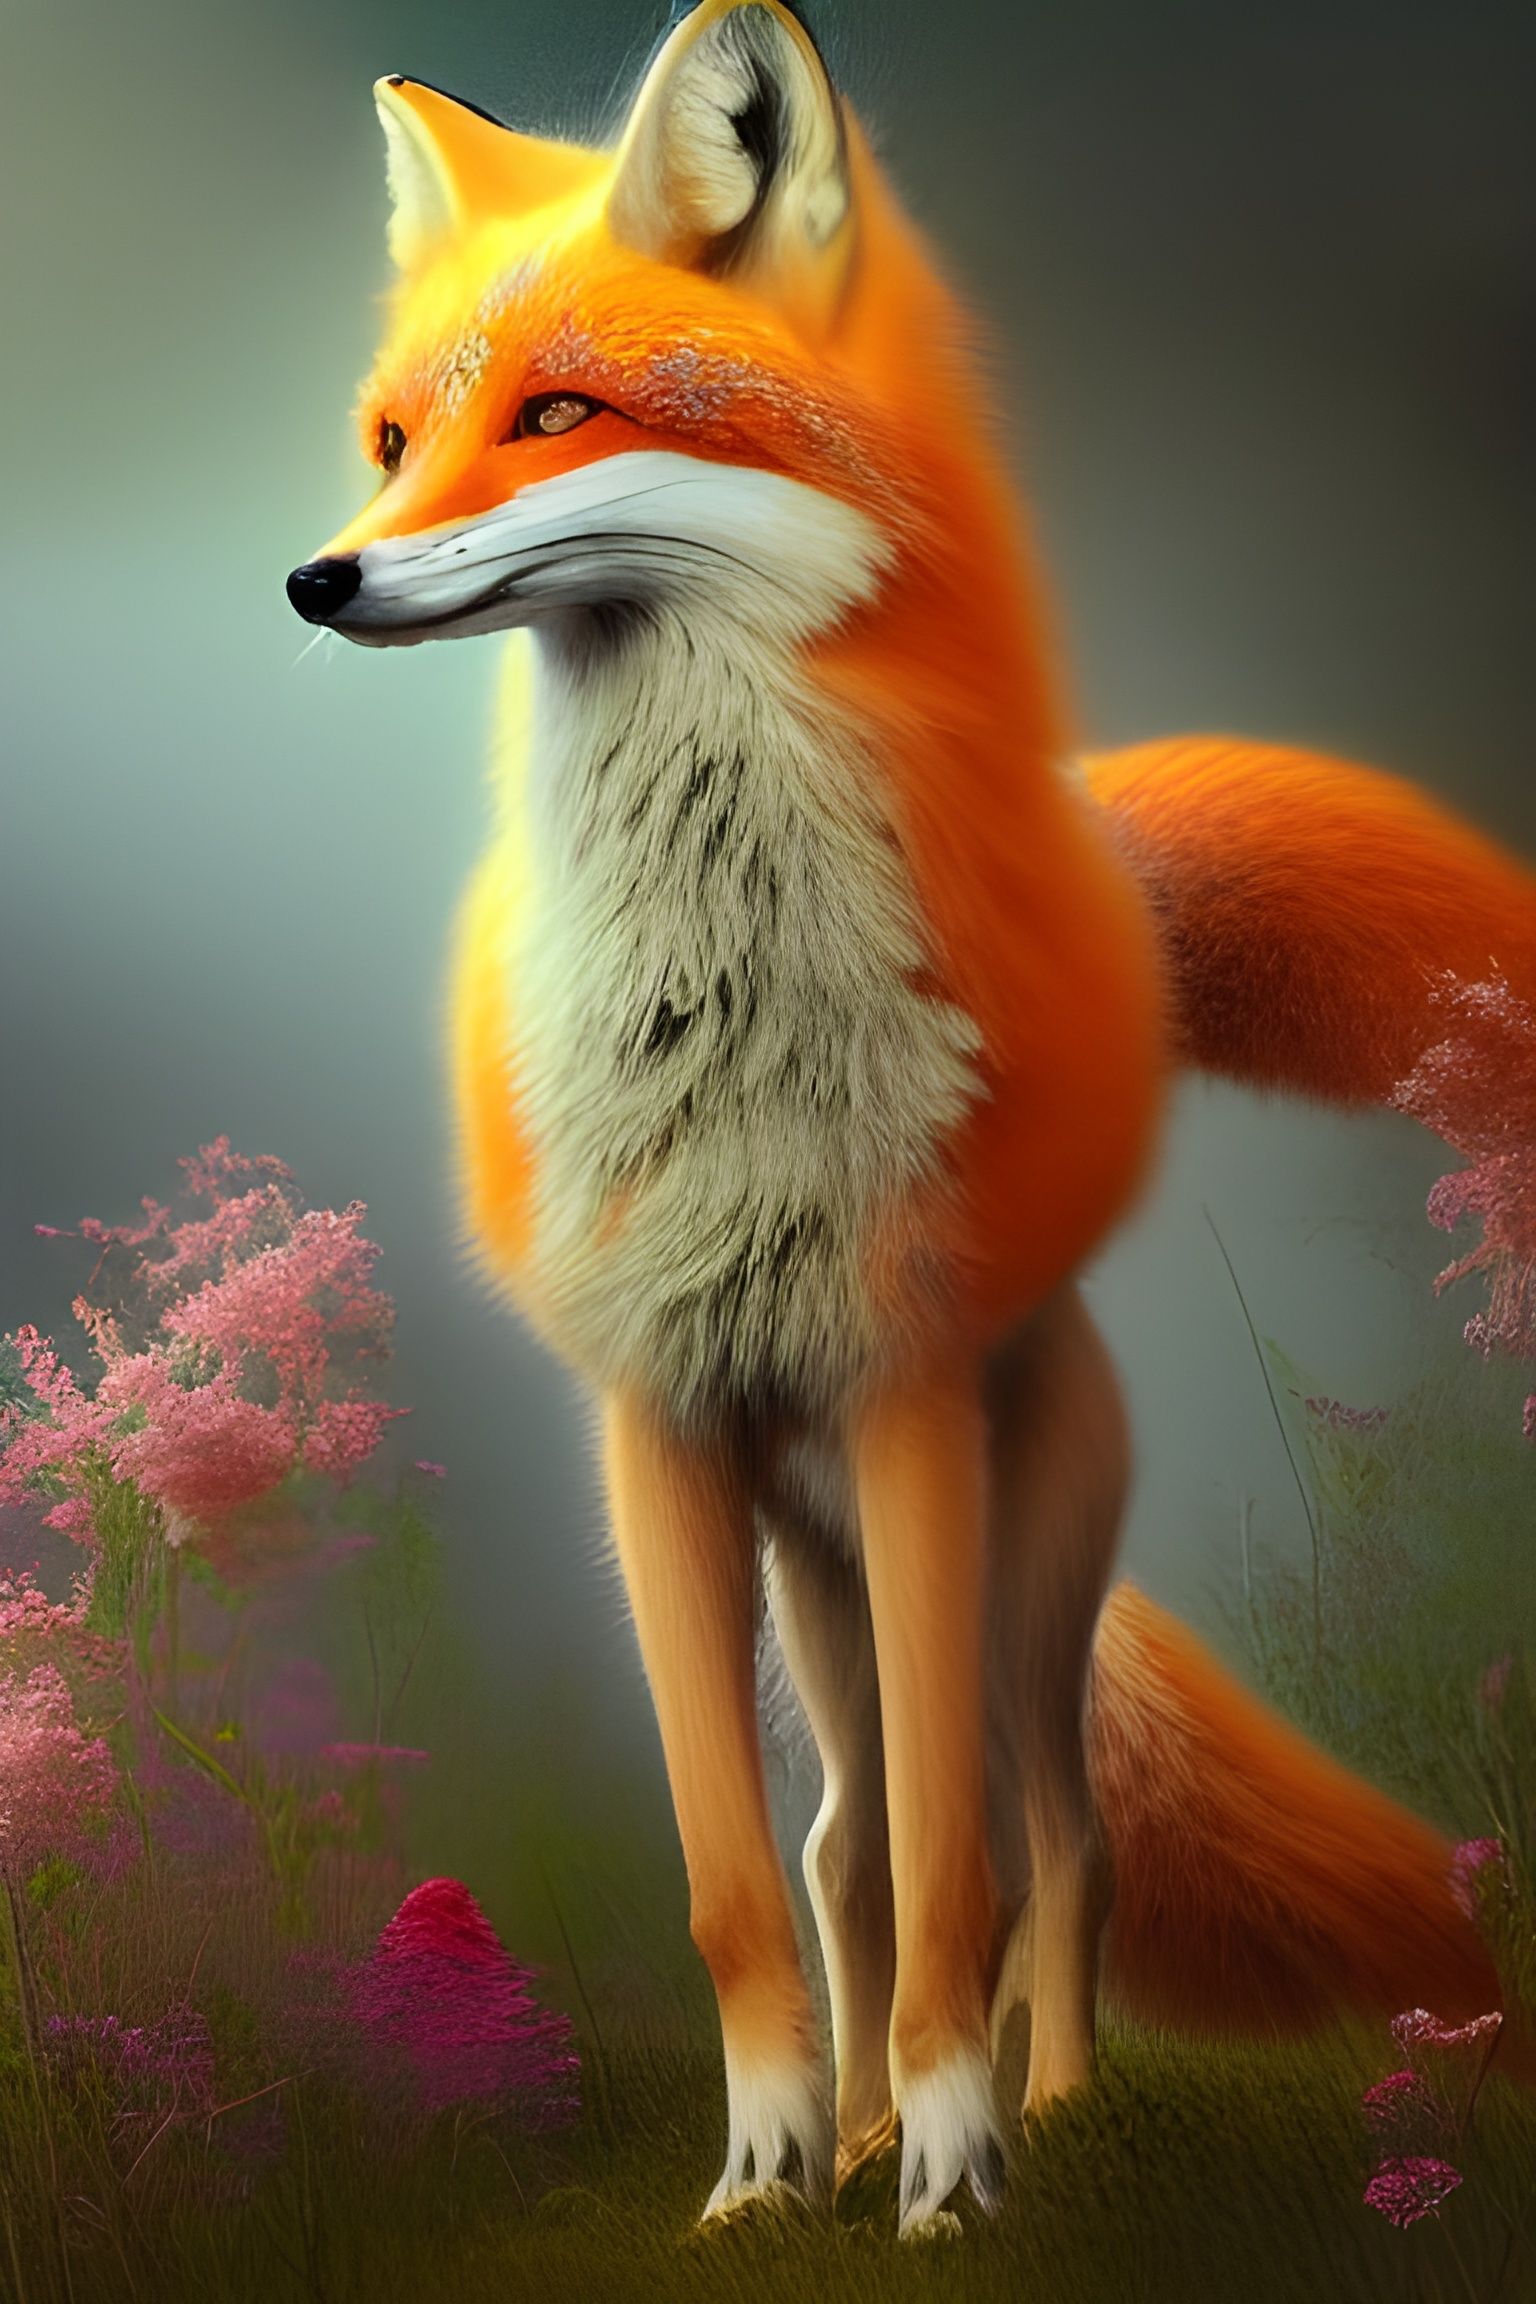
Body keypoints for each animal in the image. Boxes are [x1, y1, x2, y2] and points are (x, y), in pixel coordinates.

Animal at [285, 1, 1531, 2236]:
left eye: (559, 412)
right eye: (393, 439)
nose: (317, 575)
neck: (715, 1017)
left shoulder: (905, 1393)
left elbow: (968, 1871)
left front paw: (954, 2171)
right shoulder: (658, 1436)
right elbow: (735, 1883)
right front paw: (774, 2168)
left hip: (1007, 1581)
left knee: (1051, 1836)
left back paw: (1039, 2108)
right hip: (819, 1596)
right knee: (842, 1843)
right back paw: (855, 2123)